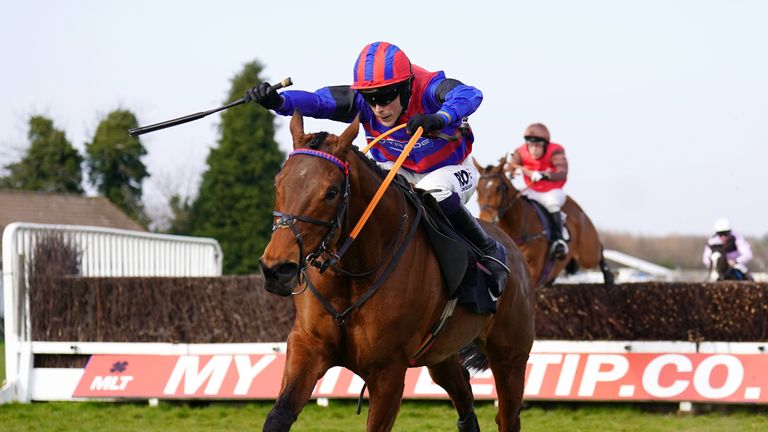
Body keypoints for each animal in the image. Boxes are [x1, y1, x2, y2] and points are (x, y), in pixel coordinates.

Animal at [258, 112, 536, 432]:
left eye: (331, 192)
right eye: (278, 183)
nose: (277, 269)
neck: (352, 274)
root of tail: (511, 247)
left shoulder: (388, 370)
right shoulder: (307, 346)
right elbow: (278, 416)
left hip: (509, 354)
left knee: (508, 416)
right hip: (439, 352)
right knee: (463, 392)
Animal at [472, 158, 616, 286]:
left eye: (499, 188)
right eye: (478, 189)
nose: (486, 219)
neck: (518, 228)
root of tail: (577, 207)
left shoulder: (533, 270)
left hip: (587, 253)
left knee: (599, 250)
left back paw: (608, 276)